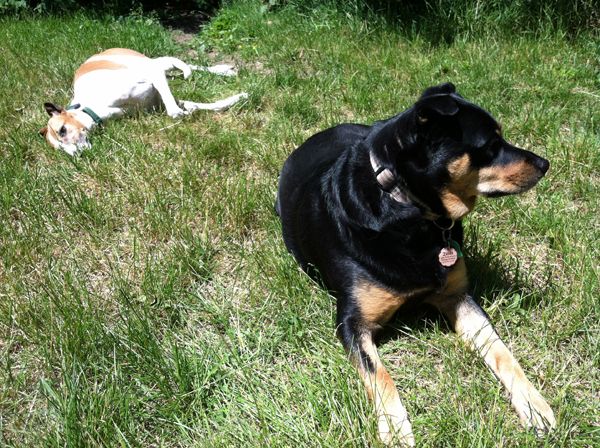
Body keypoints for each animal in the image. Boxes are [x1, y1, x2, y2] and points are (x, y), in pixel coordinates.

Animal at [40, 48, 246, 155]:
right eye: (59, 149)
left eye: (62, 130)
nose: (76, 155)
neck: (94, 106)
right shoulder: (157, 102)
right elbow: (198, 105)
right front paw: (237, 98)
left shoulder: (153, 76)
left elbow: (174, 111)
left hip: (148, 63)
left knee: (179, 64)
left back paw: (217, 70)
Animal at [274, 83, 556, 444]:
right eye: (491, 146)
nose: (544, 163)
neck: (410, 208)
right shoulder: (351, 322)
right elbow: (380, 374)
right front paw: (395, 429)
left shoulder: (458, 296)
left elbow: (502, 351)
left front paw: (534, 405)